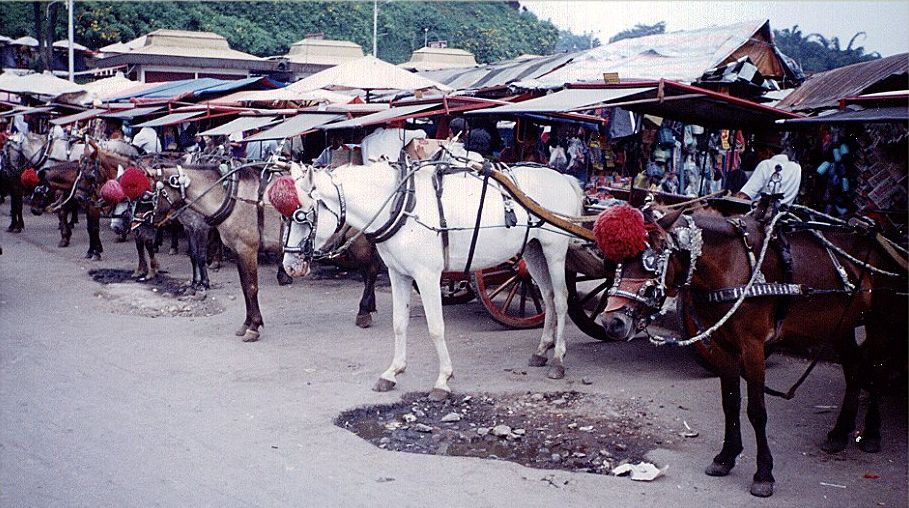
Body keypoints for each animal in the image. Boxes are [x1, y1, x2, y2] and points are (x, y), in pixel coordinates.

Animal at [280, 161, 584, 398]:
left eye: (303, 216)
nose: (290, 266)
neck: (401, 206)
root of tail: (563, 178)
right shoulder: (398, 274)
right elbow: (399, 324)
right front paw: (392, 372)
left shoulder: (427, 277)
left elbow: (436, 328)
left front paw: (443, 380)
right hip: (532, 251)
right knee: (547, 297)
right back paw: (542, 350)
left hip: (555, 250)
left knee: (561, 300)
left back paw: (558, 359)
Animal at [600, 202, 904, 496]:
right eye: (614, 262)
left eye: (650, 261)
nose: (611, 322)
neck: (731, 266)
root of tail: (879, 232)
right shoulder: (722, 347)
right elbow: (730, 403)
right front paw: (726, 456)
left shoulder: (753, 347)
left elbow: (757, 411)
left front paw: (763, 473)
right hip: (841, 325)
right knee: (854, 367)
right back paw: (840, 433)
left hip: (881, 321)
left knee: (876, 369)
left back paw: (872, 433)